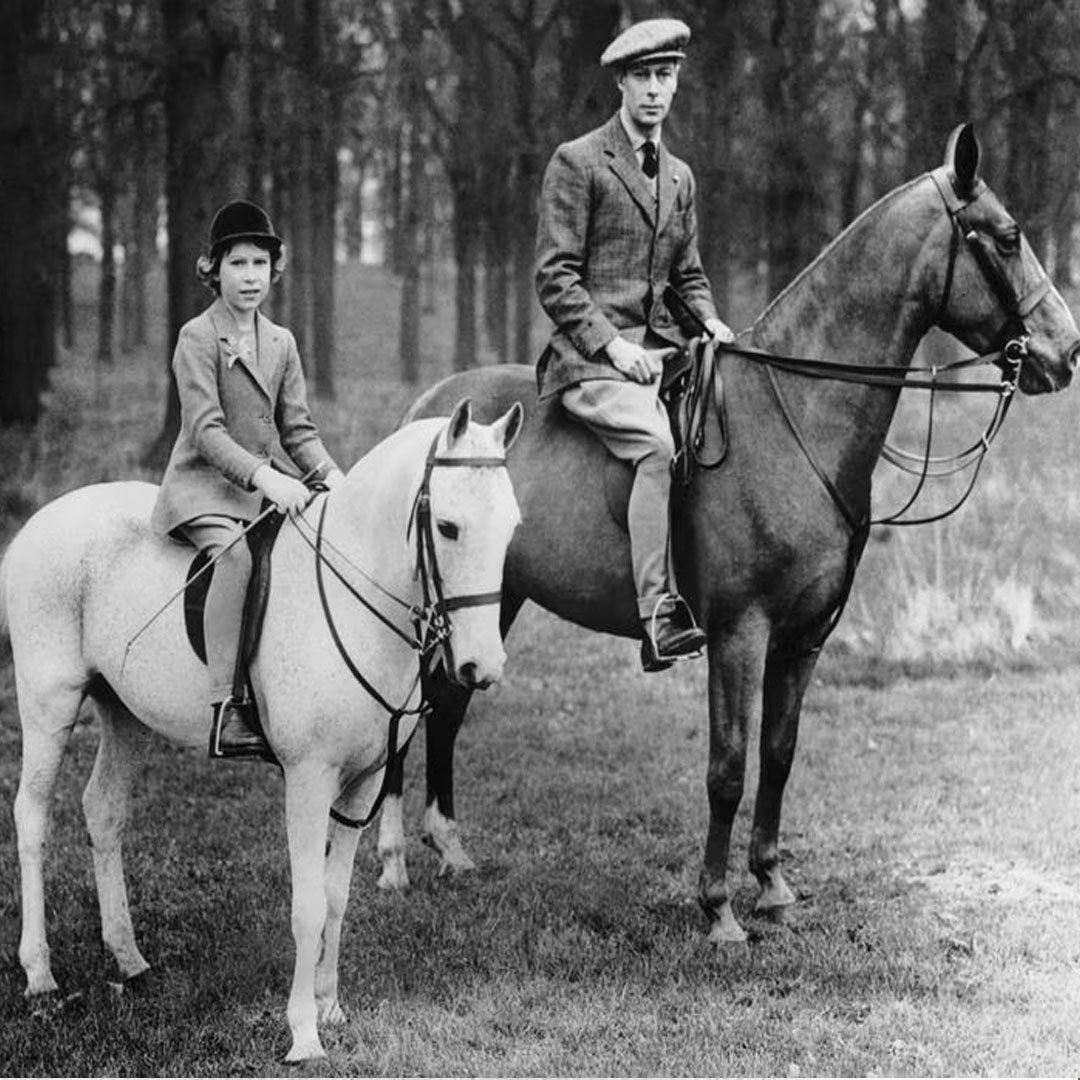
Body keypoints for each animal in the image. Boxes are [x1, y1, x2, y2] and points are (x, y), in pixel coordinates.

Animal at [0, 399, 522, 1062]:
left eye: (511, 528)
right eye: (449, 527)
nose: (483, 667)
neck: (357, 597)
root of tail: (38, 522)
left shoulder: (364, 783)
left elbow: (337, 897)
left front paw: (331, 1006)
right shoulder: (308, 779)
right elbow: (307, 905)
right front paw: (303, 1032)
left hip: (123, 712)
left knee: (103, 810)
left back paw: (129, 957)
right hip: (50, 701)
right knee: (32, 818)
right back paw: (39, 974)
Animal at [375, 122, 1075, 941]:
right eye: (1008, 235)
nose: (1067, 351)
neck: (793, 414)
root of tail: (432, 407)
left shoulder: (804, 637)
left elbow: (778, 753)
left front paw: (771, 883)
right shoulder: (740, 632)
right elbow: (728, 766)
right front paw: (717, 909)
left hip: (493, 598)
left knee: (448, 704)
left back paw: (449, 850)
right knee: (409, 708)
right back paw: (391, 862)